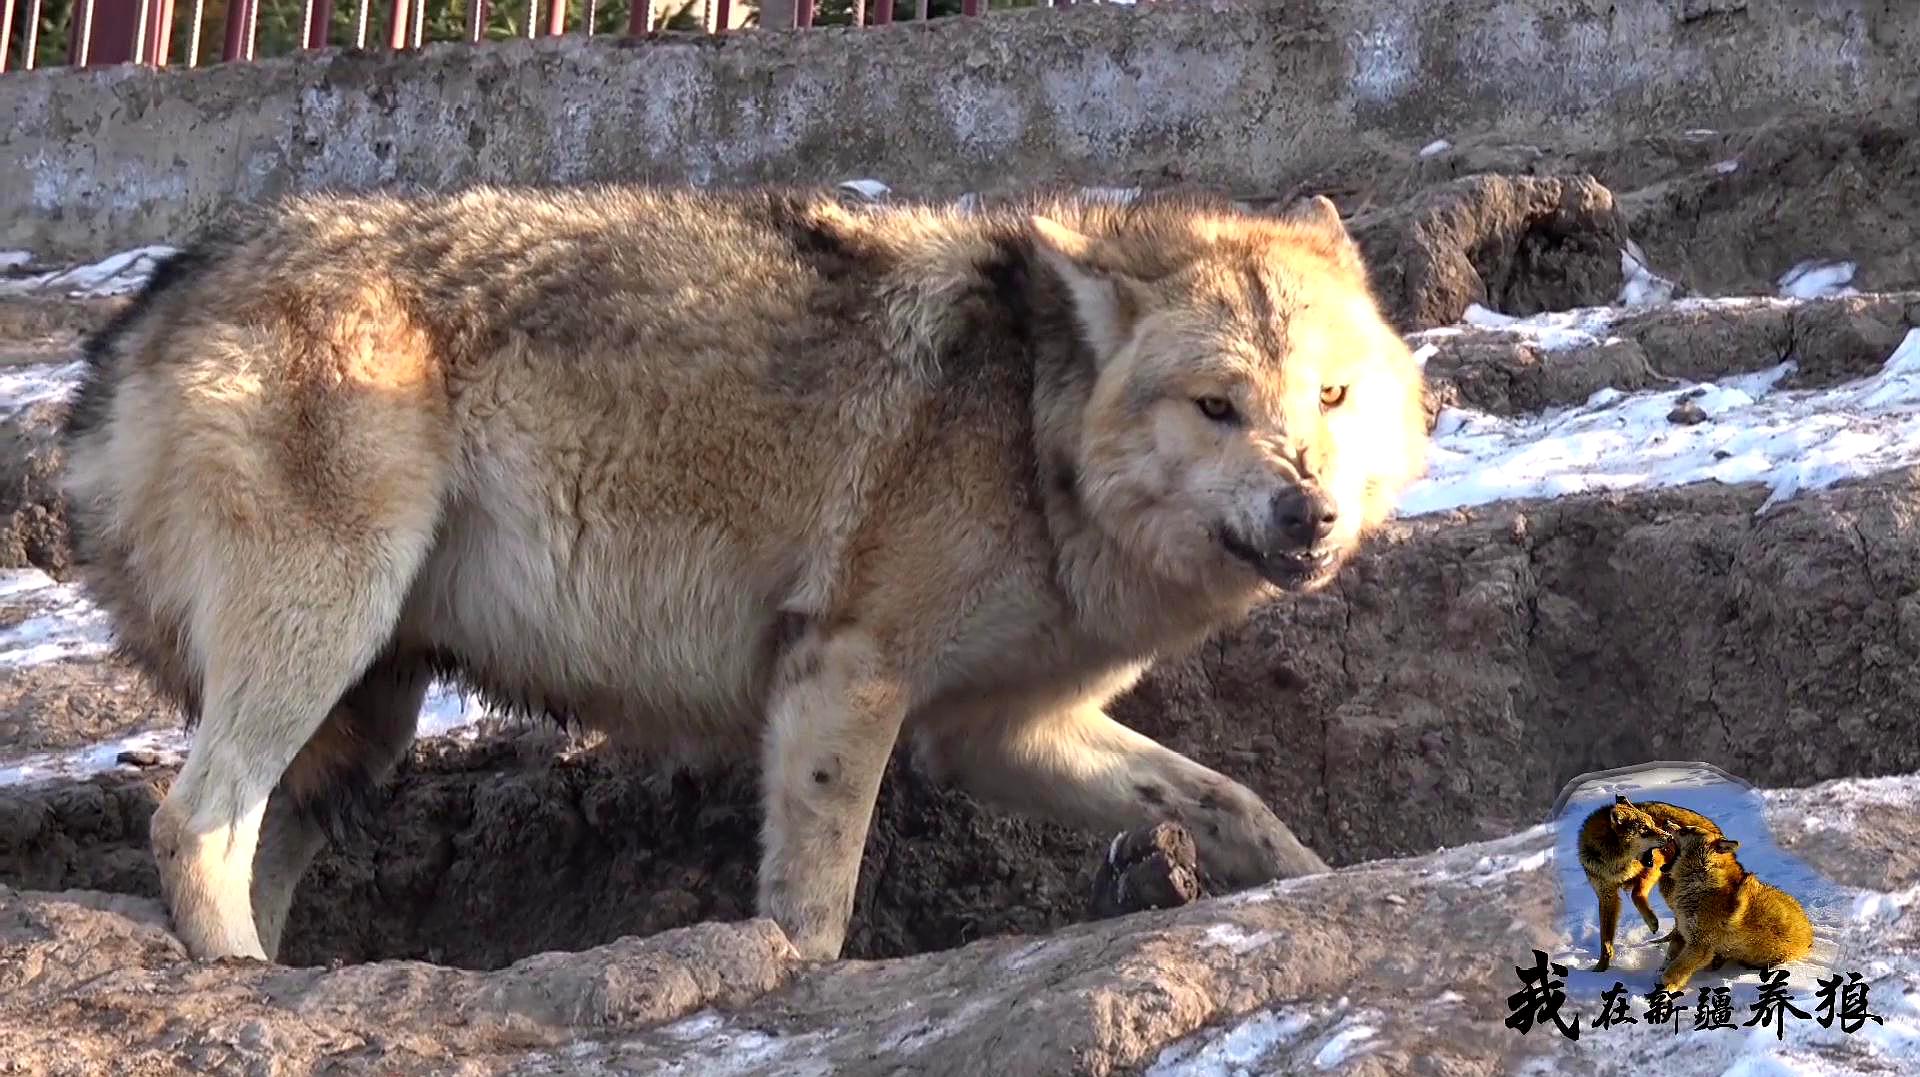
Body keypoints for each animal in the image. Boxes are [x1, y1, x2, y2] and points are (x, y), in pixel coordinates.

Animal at [60, 182, 1436, 956]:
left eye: (1329, 397)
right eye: (1217, 408)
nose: (1309, 513)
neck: (1032, 439)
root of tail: (149, 301)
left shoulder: (998, 735)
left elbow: (1231, 801)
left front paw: (1328, 888)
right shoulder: (845, 676)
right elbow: (814, 906)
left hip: (371, 709)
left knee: (253, 841)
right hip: (328, 631)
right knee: (189, 821)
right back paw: (237, 981)